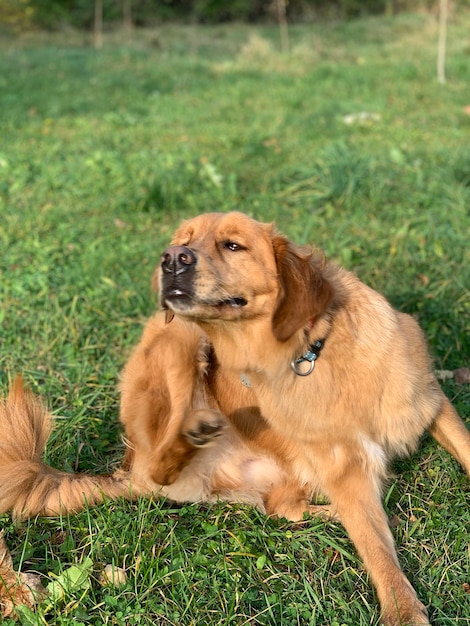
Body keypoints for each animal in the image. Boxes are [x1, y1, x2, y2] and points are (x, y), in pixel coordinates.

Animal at [160, 211, 470, 624]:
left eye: (233, 245)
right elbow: (375, 546)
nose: (171, 259)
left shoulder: (429, 402)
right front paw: (403, 610)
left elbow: (466, 446)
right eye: (183, 241)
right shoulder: (344, 470)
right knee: (283, 510)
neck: (308, 351)